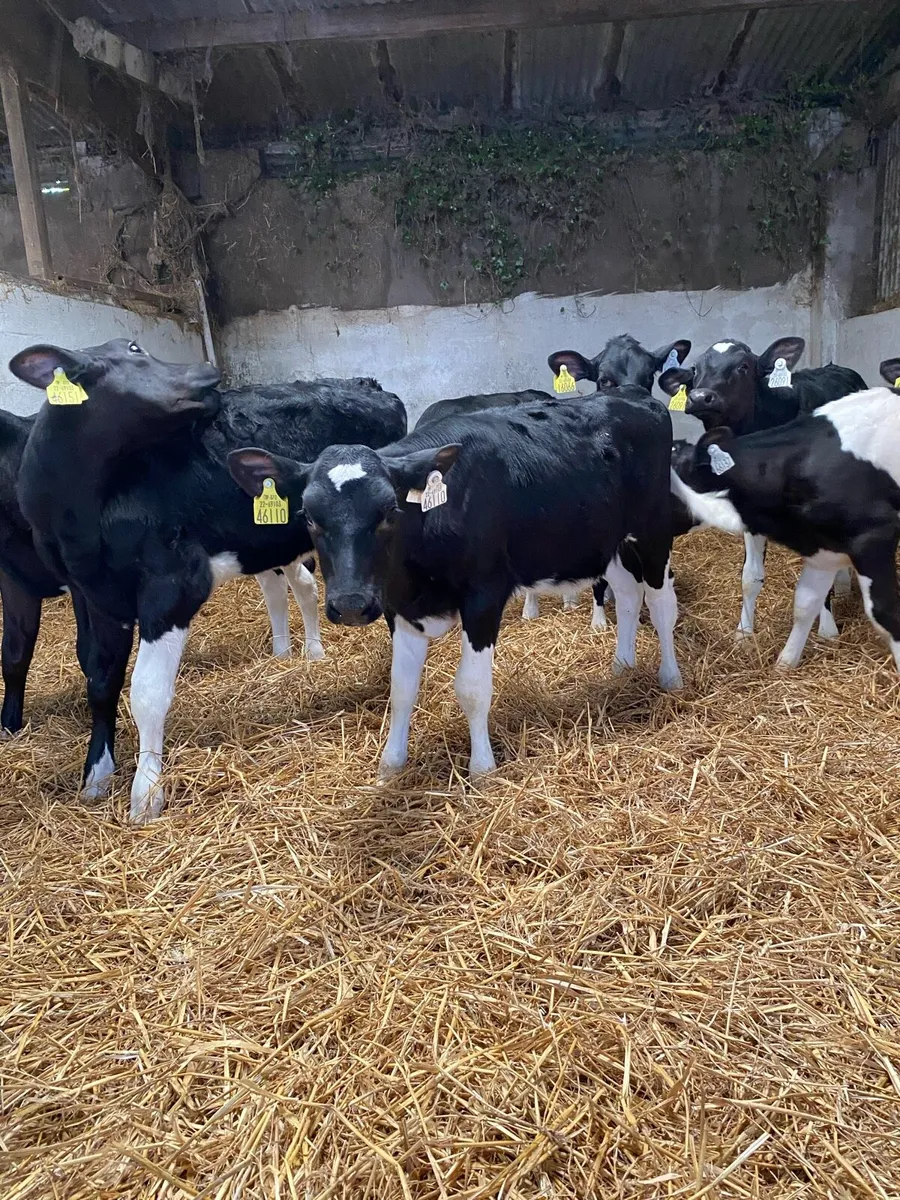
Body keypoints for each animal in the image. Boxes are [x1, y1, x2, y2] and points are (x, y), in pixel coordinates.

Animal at [12, 338, 407, 822]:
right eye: (134, 351)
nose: (206, 371)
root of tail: (368, 383)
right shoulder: (91, 595)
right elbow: (100, 679)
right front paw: (97, 774)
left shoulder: (173, 585)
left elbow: (147, 691)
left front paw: (146, 793)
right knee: (295, 585)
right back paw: (300, 654)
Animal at [228, 393, 684, 784]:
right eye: (307, 515)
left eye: (389, 510)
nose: (352, 604)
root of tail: (636, 398)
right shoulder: (398, 608)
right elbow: (401, 688)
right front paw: (391, 765)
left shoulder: (484, 597)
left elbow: (472, 688)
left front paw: (482, 767)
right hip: (609, 542)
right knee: (629, 595)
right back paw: (622, 665)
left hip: (653, 530)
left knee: (662, 603)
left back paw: (670, 676)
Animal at [659, 336, 867, 642]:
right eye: (695, 369)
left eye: (743, 366)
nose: (700, 397)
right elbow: (749, 576)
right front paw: (744, 632)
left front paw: (828, 630)